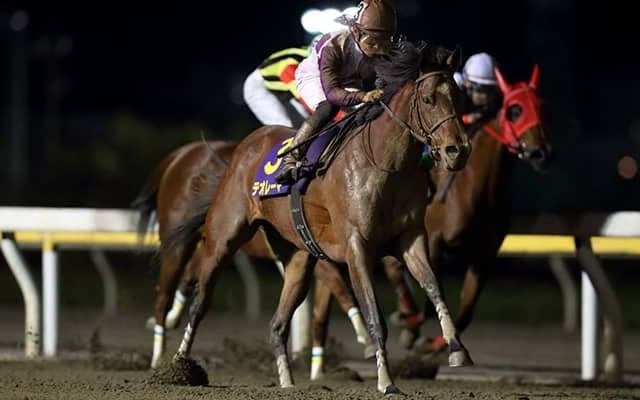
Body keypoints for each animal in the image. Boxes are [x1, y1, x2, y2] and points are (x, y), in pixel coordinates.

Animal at [133, 139, 376, 369]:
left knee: (190, 276)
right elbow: (343, 290)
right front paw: (368, 341)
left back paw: (173, 320)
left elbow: (326, 309)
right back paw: (159, 355)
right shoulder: (318, 252)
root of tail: (180, 154)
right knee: (163, 296)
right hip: (179, 243)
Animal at [162, 40, 472, 394]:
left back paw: (287, 384)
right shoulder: (356, 247)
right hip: (223, 237)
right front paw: (386, 381)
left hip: (296, 256)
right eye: (428, 99)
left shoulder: (410, 239)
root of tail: (243, 148)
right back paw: (179, 366)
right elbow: (373, 314)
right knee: (201, 301)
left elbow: (434, 288)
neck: (385, 163)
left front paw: (457, 349)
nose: (458, 150)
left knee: (277, 324)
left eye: (459, 97)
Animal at [309, 63, 553, 365]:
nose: (541, 154)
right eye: (515, 110)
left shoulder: (484, 256)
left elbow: (466, 310)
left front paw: (441, 345)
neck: (477, 187)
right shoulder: (433, 240)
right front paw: (413, 332)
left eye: (543, 107)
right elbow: (428, 301)